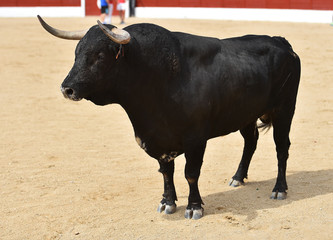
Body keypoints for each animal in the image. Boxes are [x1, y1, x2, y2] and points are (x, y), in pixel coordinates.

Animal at [37, 16, 300, 219]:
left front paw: (194, 206)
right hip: (246, 114)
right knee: (251, 141)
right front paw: (167, 202)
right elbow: (166, 172)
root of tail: (280, 42)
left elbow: (191, 173)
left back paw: (279, 188)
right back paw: (237, 177)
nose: (67, 89)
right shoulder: (158, 137)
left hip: (284, 110)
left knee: (282, 148)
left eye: (100, 56)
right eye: (77, 53)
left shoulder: (195, 140)